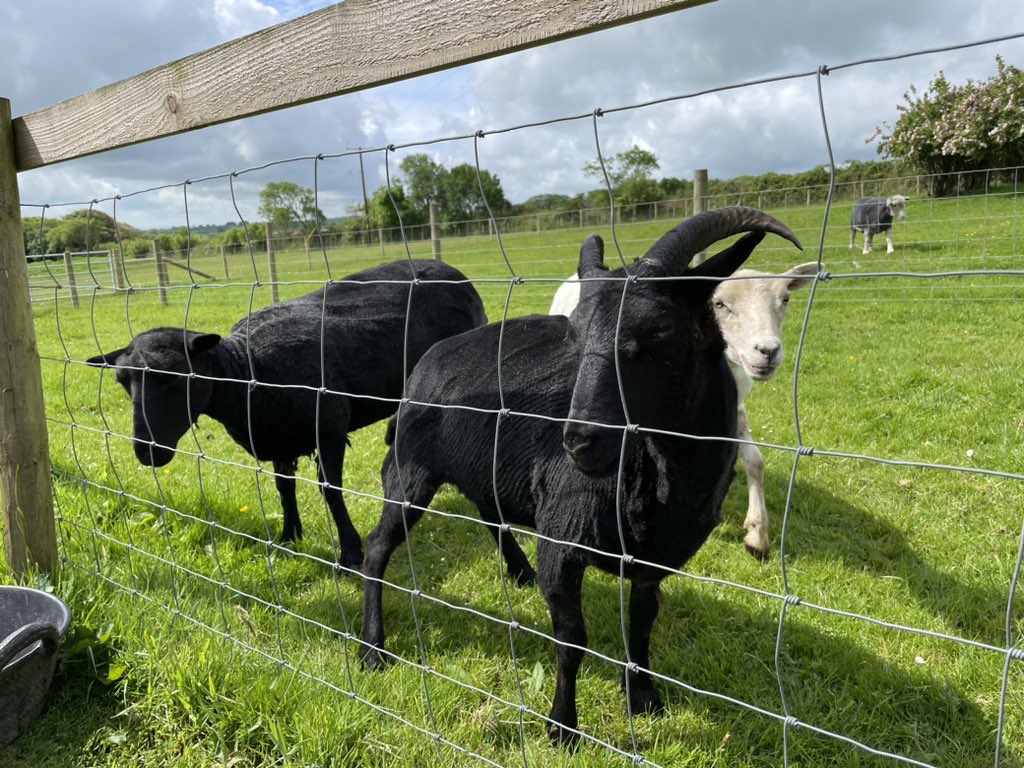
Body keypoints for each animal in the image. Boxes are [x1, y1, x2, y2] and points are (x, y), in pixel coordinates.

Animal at [86, 259, 487, 570]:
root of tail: (452, 271)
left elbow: (330, 491)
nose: (146, 451)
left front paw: (350, 553)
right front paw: (289, 537)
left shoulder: (329, 428)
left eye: (177, 378)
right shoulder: (277, 436)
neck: (245, 371)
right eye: (121, 381)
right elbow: (283, 488)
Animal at [550, 260, 818, 560]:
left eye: (785, 299)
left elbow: (755, 461)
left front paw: (757, 535)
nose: (768, 351)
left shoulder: (735, 408)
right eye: (719, 304)